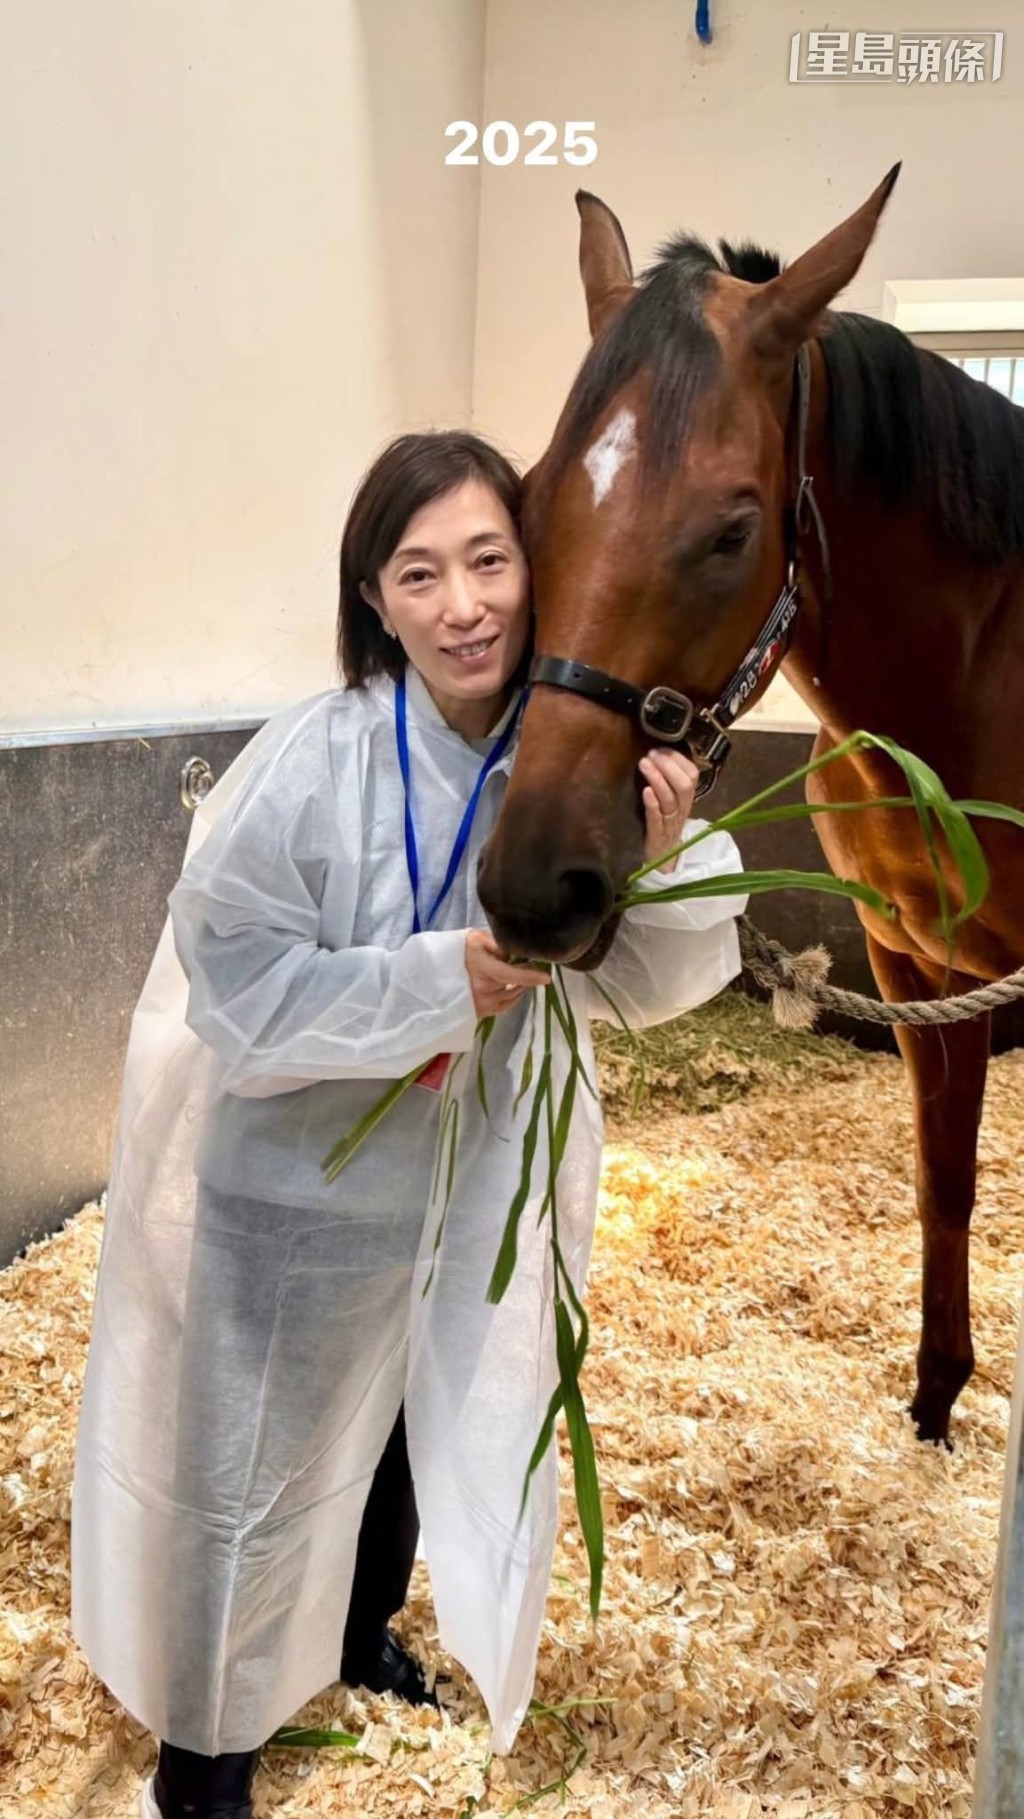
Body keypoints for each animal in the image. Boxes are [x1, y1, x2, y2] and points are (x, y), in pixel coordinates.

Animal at [477, 169, 1024, 1446]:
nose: (534, 885)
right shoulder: (918, 965)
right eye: (528, 502)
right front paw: (935, 1395)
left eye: (732, 529)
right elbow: (945, 1177)